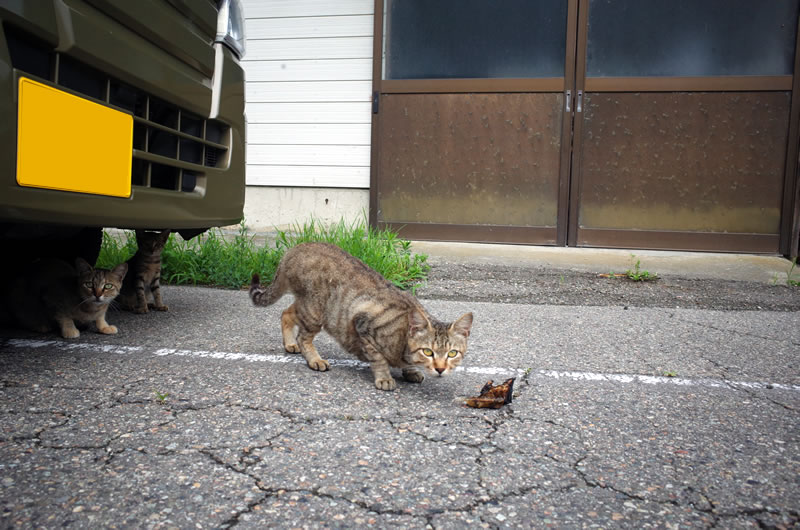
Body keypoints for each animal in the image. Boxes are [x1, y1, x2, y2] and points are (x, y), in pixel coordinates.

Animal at [250, 241, 472, 390]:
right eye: (428, 352)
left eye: (452, 353)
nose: (440, 369)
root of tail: (294, 250)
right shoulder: (363, 325)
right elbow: (379, 359)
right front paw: (385, 377)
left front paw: (410, 371)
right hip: (315, 311)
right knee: (303, 337)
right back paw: (314, 359)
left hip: (307, 306)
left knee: (285, 313)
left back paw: (289, 343)